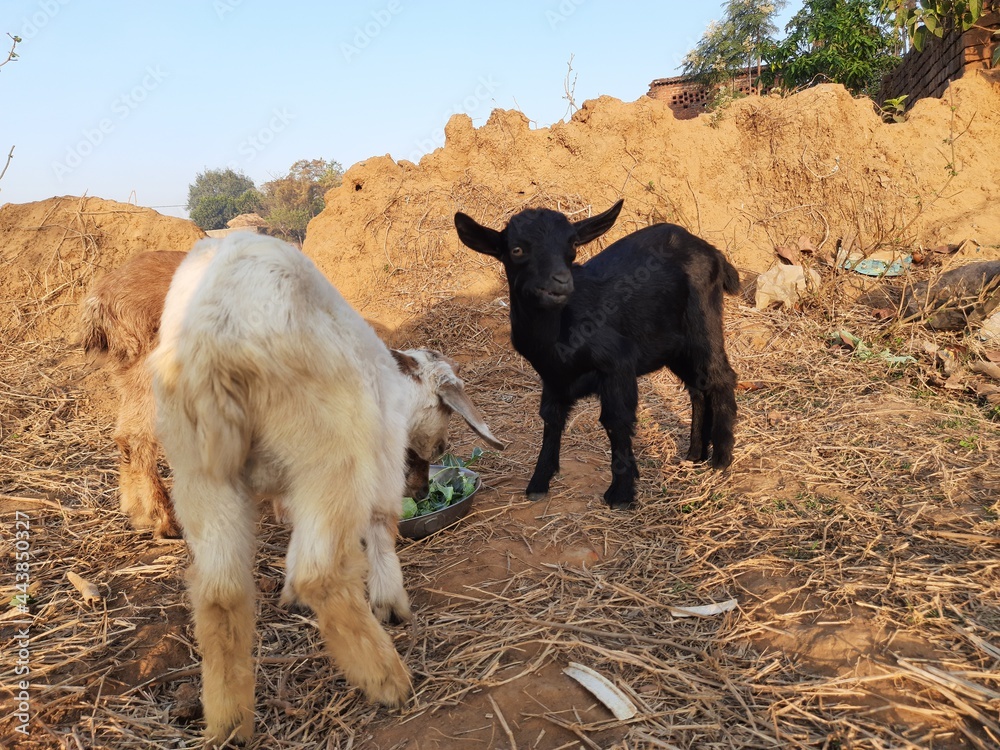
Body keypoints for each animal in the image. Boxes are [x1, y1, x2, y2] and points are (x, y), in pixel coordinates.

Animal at [81, 250, 499, 539]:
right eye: (441, 443)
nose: (423, 490)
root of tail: (102, 297)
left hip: (131, 375)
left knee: (125, 436)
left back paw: (140, 512)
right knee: (138, 438)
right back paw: (163, 519)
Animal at [146, 233, 502, 743]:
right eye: (444, 430)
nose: (421, 485)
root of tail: (216, 340)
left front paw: (291, 591)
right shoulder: (379, 453)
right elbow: (380, 525)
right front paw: (391, 604)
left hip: (200, 471)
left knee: (220, 593)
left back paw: (230, 721)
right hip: (331, 448)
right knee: (324, 572)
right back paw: (387, 678)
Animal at [455, 199, 738, 509]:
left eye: (572, 245)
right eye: (517, 249)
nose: (562, 282)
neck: (558, 334)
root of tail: (713, 252)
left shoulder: (617, 363)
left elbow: (616, 420)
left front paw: (621, 493)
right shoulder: (552, 377)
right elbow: (551, 419)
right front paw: (538, 482)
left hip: (703, 322)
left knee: (721, 376)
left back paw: (721, 458)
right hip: (674, 346)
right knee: (698, 386)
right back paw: (695, 453)